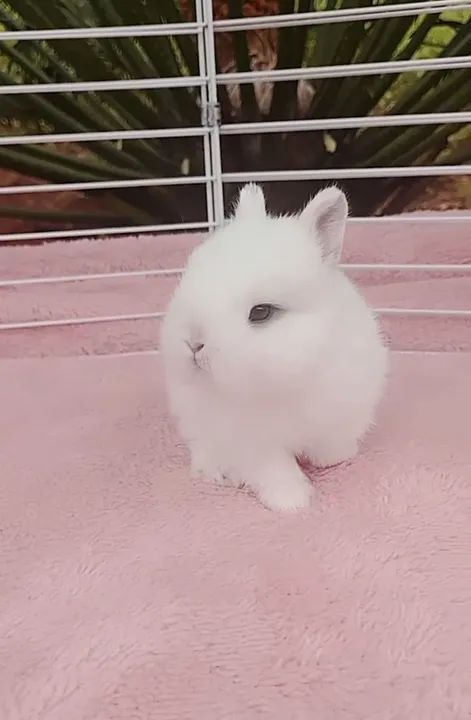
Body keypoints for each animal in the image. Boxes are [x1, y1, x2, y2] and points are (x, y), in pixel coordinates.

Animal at [161, 184, 388, 511]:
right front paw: (292, 502)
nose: (193, 343)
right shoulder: (254, 443)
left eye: (261, 312)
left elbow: (332, 443)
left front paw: (334, 460)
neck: (291, 379)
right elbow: (274, 470)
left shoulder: (346, 409)